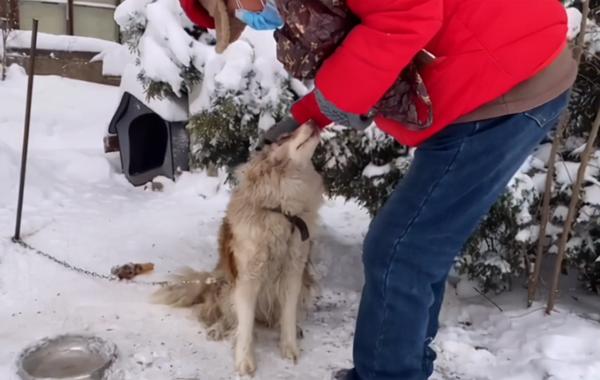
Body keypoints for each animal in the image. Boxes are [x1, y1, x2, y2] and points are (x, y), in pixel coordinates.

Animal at [155, 123, 324, 376]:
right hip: (225, 285)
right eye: (286, 136)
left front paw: (289, 348)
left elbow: (287, 315)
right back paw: (217, 328)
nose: (313, 121)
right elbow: (244, 326)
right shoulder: (247, 279)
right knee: (225, 315)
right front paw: (244, 361)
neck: (282, 212)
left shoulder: (294, 274)